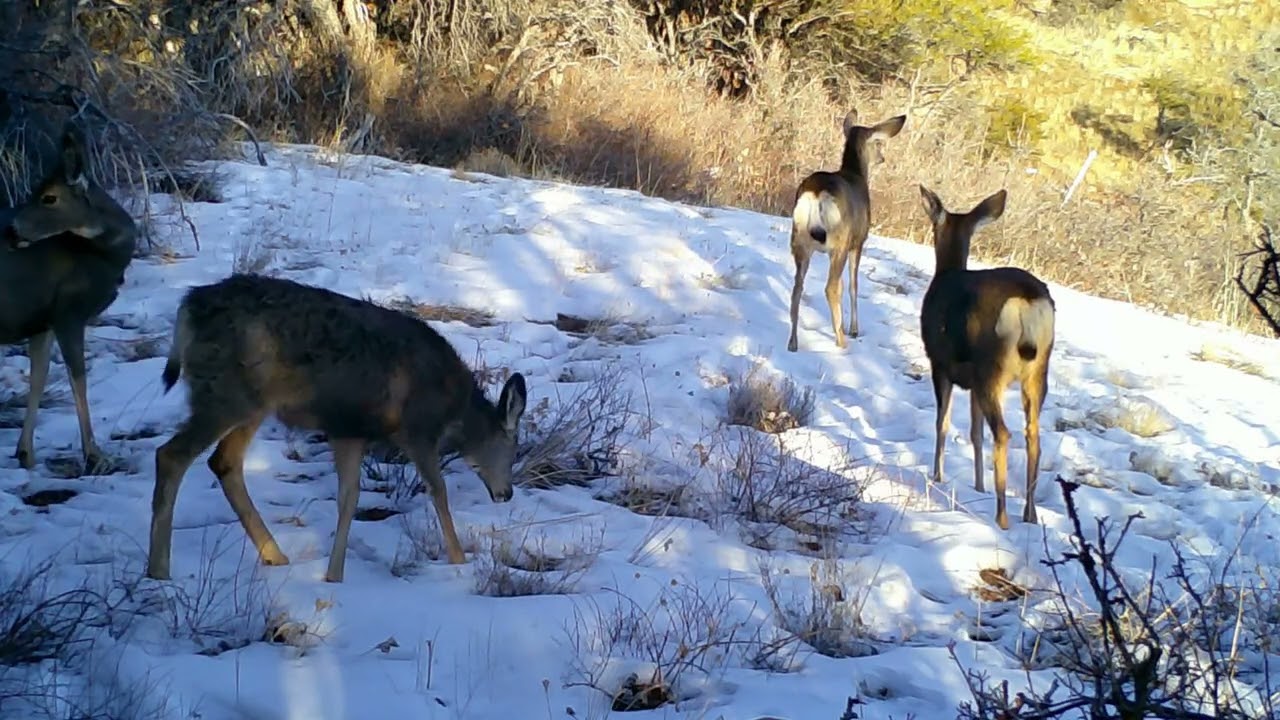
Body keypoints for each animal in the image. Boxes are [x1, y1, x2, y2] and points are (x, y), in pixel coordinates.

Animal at [0, 119, 138, 473]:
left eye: (49, 197)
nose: (10, 232)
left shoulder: (44, 320)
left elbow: (39, 377)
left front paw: (25, 453)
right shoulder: (69, 312)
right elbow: (79, 378)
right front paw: (95, 455)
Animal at [145, 273, 529, 584]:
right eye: (512, 450)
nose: (506, 493)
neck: (454, 408)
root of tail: (188, 308)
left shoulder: (349, 429)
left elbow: (349, 498)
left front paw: (333, 576)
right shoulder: (416, 429)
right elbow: (438, 492)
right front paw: (459, 560)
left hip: (253, 403)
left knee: (224, 462)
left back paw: (275, 555)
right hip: (225, 395)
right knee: (171, 455)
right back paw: (158, 571)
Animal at [787, 110, 907, 352]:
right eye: (878, 143)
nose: (882, 158)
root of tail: (815, 193)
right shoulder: (858, 242)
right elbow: (852, 285)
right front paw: (853, 329)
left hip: (799, 239)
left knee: (797, 287)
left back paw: (793, 343)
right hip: (838, 241)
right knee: (830, 287)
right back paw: (842, 341)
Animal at [917, 185, 1055, 530]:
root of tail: (1028, 302)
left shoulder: (940, 364)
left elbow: (942, 422)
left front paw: (937, 475)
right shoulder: (969, 382)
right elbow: (975, 432)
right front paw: (978, 485)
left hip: (991, 367)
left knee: (1003, 432)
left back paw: (1002, 515)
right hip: (1037, 372)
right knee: (1033, 435)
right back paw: (1029, 514)